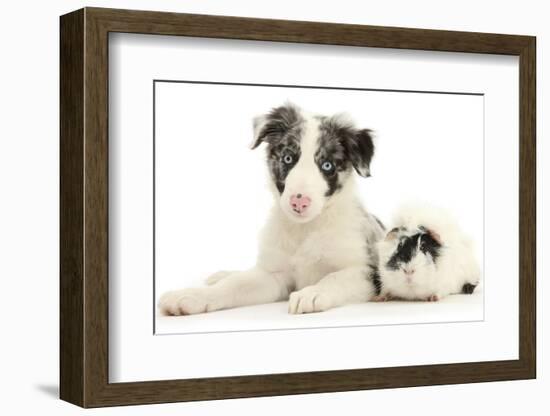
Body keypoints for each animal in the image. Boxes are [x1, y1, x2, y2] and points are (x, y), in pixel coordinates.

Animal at [157, 103, 386, 316]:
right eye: (288, 158)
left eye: (327, 165)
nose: (299, 202)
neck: (305, 229)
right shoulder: (274, 275)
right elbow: (235, 285)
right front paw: (193, 296)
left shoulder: (366, 272)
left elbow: (335, 278)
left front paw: (311, 293)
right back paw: (221, 275)